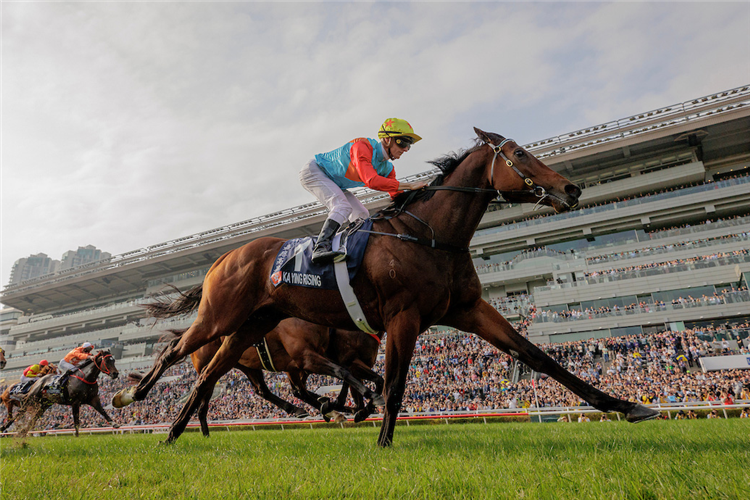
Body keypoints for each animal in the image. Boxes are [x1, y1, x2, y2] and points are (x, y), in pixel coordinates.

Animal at [181, 318, 382, 436]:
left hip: (248, 365)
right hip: (217, 364)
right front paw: (357, 406)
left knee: (264, 390)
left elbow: (370, 380)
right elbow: (345, 376)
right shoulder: (312, 358)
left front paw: (354, 407)